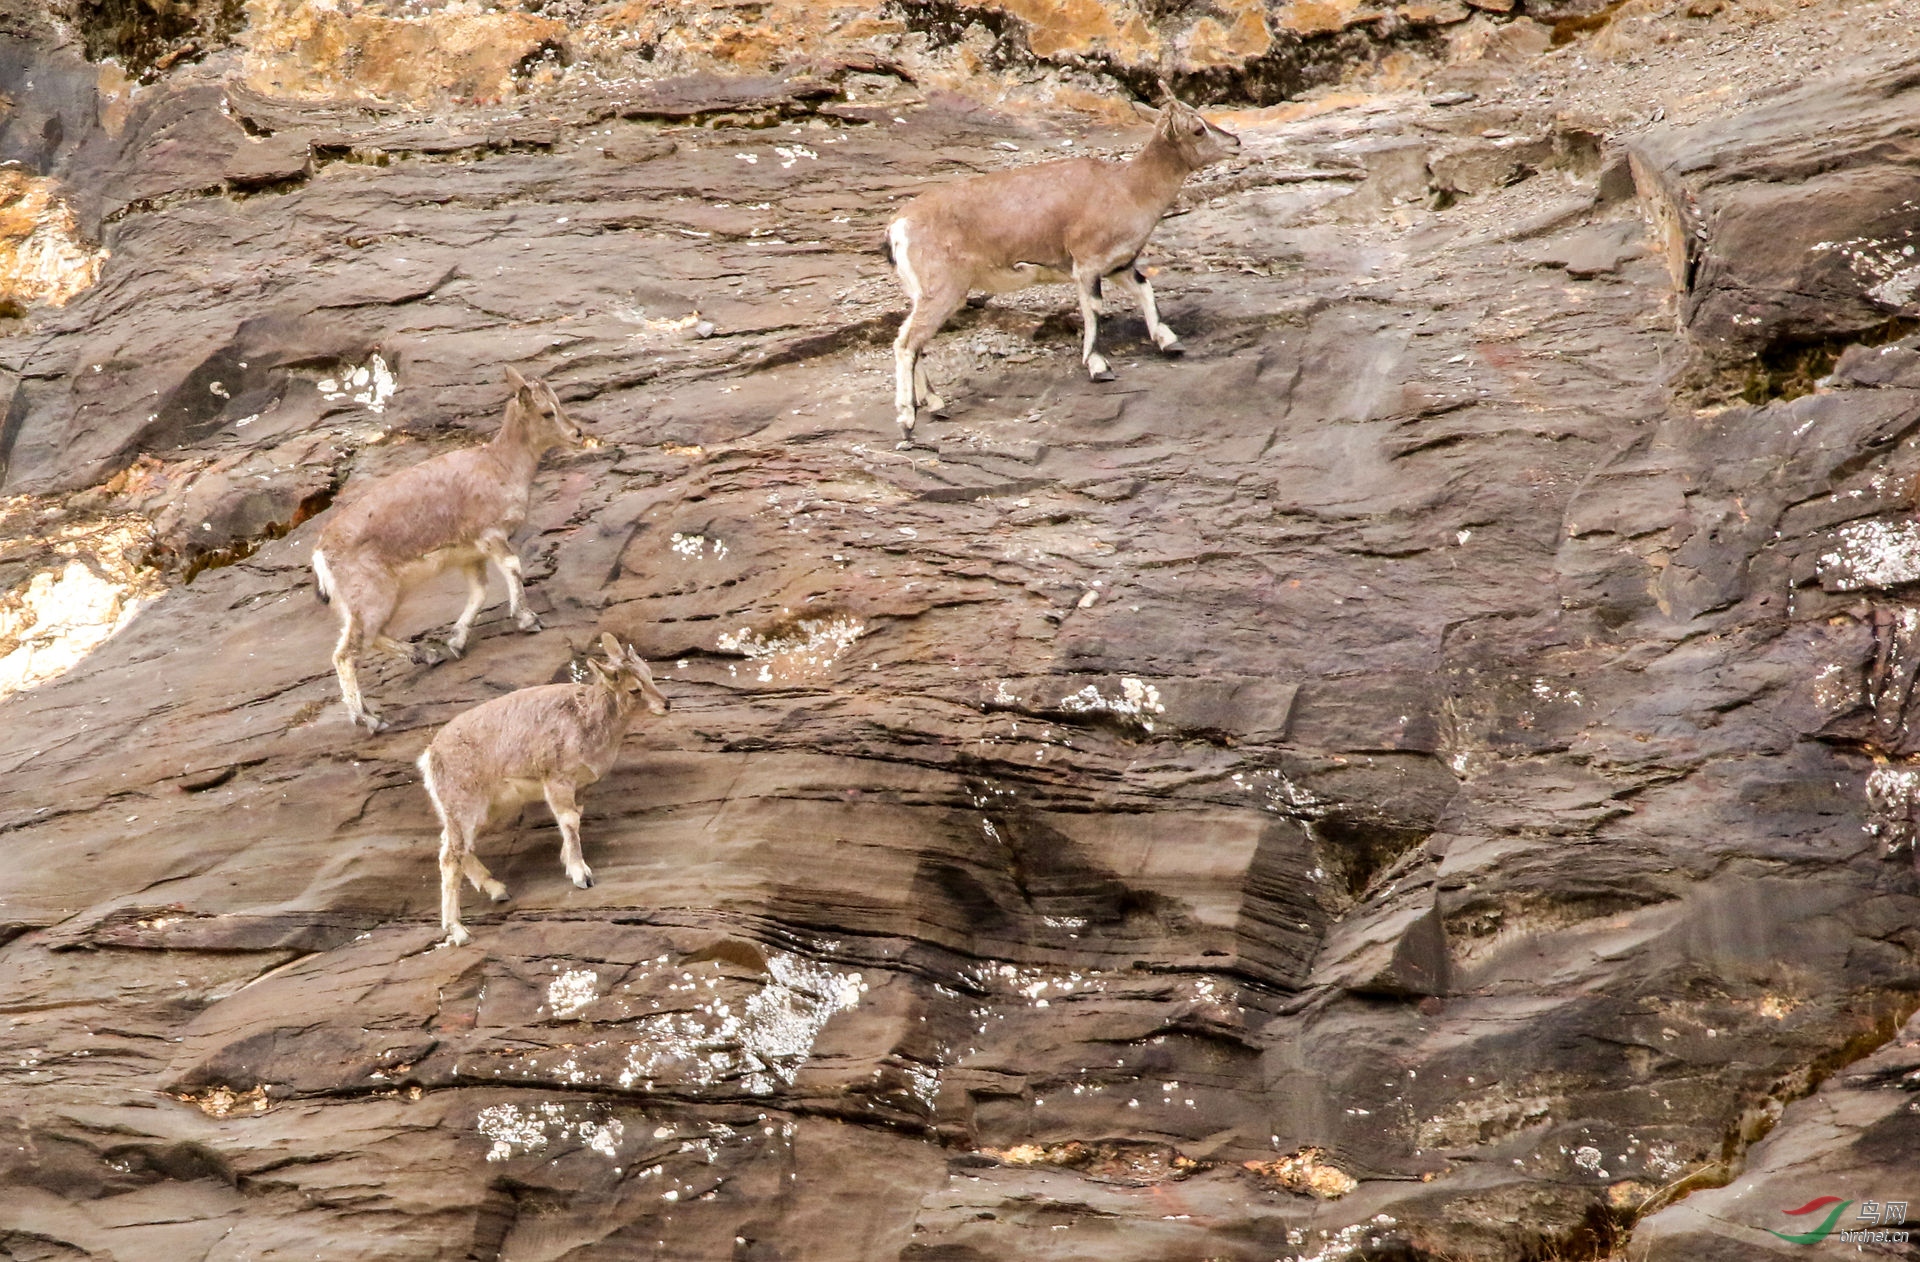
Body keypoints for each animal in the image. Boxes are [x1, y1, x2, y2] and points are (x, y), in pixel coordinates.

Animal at [311, 364, 583, 729]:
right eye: (547, 412)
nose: (577, 434)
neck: (500, 466)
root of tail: (321, 554)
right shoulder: (491, 534)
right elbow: (512, 568)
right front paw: (528, 620)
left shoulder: (471, 555)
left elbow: (478, 592)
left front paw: (456, 641)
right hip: (370, 596)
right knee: (345, 653)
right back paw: (369, 719)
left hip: (372, 599)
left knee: (369, 636)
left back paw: (426, 654)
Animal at [416, 630, 672, 945]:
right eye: (634, 689)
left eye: (650, 674)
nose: (666, 704)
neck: (587, 723)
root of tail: (430, 757)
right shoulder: (557, 780)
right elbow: (569, 820)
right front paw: (581, 875)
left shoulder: (580, 787)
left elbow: (574, 818)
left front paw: (566, 861)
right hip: (464, 806)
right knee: (450, 856)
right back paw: (458, 930)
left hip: (481, 811)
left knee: (455, 846)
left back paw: (497, 889)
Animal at [887, 80, 1244, 443]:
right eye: (1198, 129)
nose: (1236, 143)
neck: (1128, 188)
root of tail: (898, 227)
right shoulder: (1087, 262)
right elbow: (1094, 308)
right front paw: (1098, 366)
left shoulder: (1118, 265)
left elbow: (1144, 289)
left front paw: (1170, 343)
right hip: (942, 289)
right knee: (906, 342)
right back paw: (906, 418)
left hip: (926, 293)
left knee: (916, 340)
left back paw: (935, 403)